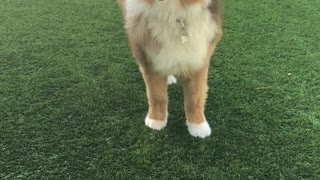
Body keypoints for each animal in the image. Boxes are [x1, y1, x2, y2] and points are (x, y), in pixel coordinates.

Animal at [118, 0, 222, 138]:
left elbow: (195, 96)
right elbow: (156, 95)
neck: (172, 14)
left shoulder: (199, 57)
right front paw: (156, 120)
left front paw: (198, 125)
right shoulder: (149, 57)